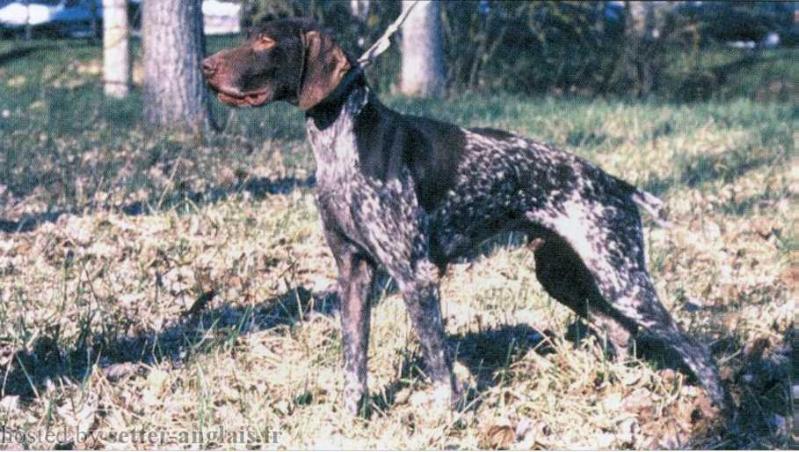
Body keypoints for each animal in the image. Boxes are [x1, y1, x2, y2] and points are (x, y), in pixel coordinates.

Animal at [202, 16, 732, 414]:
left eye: (267, 41)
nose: (206, 66)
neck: (342, 142)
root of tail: (614, 182)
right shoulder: (352, 272)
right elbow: (354, 360)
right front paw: (352, 418)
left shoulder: (415, 276)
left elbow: (438, 361)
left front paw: (446, 418)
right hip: (564, 275)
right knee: (621, 331)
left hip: (622, 278)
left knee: (694, 348)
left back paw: (721, 411)